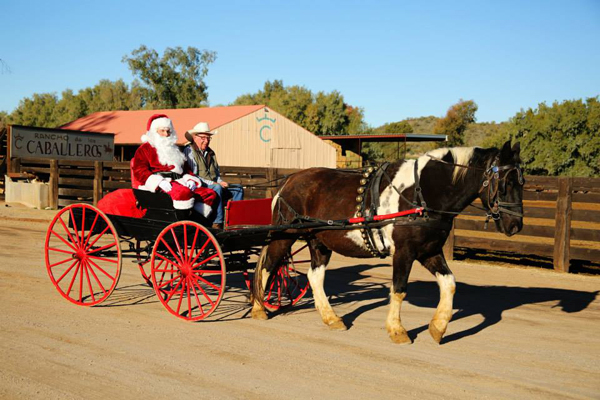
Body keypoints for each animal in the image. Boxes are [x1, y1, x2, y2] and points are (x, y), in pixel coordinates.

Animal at [251, 141, 524, 344]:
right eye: (507, 182)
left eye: (522, 182)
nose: (516, 225)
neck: (422, 193)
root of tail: (289, 181)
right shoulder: (404, 252)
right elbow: (399, 289)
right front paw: (397, 330)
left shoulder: (429, 251)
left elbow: (449, 284)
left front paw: (438, 327)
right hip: (284, 235)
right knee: (268, 266)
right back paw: (258, 309)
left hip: (318, 241)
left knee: (314, 276)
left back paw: (331, 318)